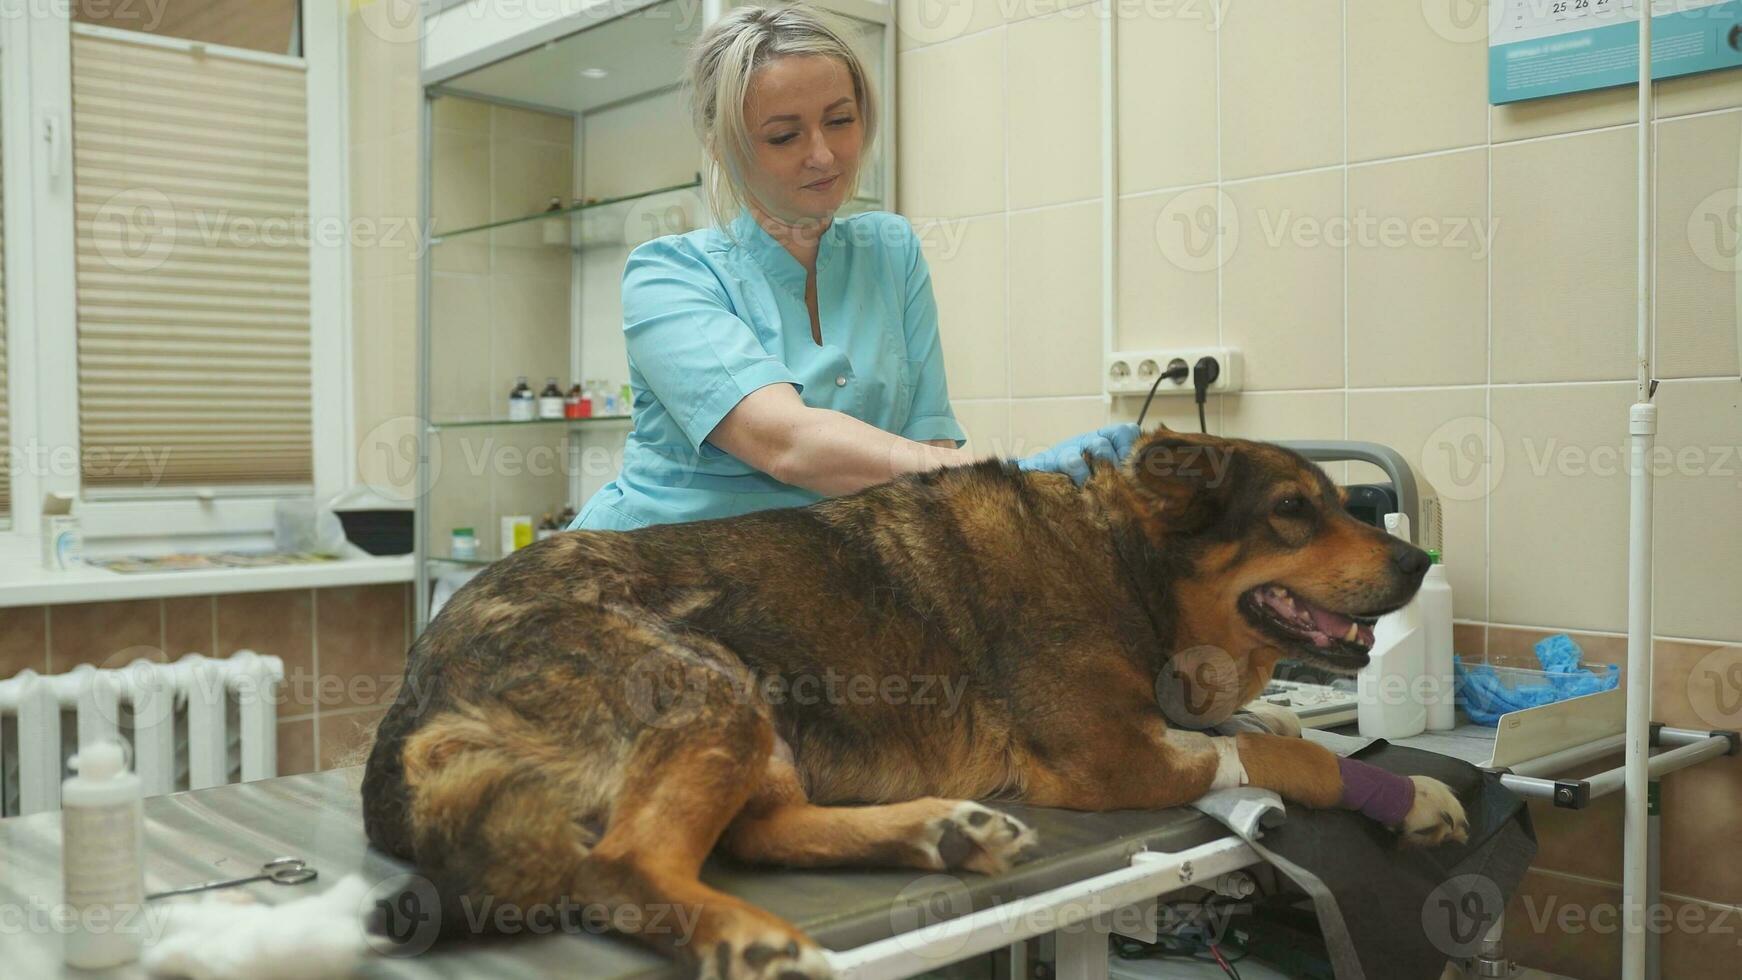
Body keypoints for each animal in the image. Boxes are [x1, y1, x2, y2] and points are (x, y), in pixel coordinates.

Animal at [360, 429, 1463, 980]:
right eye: (1292, 510)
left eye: (1339, 501)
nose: (1419, 561)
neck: (1123, 561)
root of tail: (416, 691)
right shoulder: (1116, 759)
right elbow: (1287, 756)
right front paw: (1397, 792)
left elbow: (1262, 725)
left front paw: (1312, 734)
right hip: (712, 688)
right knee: (625, 862)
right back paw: (752, 935)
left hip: (762, 718)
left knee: (760, 832)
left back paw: (943, 831)